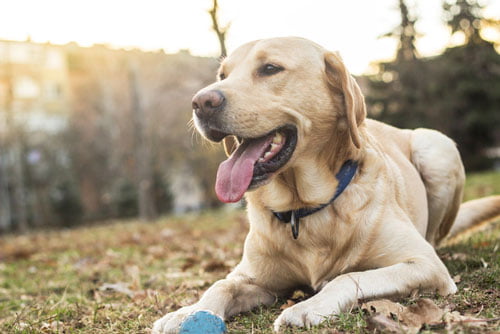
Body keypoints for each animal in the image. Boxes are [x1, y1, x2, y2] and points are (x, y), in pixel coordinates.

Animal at [153, 37, 500, 334]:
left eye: (270, 68)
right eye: (222, 75)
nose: (201, 102)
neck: (301, 208)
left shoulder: (424, 265)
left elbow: (348, 277)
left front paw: (306, 307)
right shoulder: (254, 278)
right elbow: (220, 284)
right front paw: (185, 312)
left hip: (437, 146)